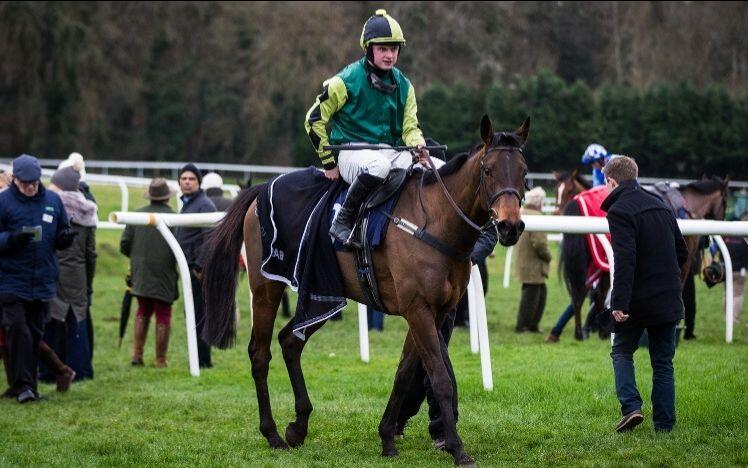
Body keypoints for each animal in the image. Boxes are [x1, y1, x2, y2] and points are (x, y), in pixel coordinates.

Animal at [202, 115, 528, 466]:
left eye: (524, 172)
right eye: (488, 170)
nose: (510, 226)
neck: (434, 222)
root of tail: (261, 188)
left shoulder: (436, 312)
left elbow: (405, 373)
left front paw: (387, 436)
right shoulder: (418, 309)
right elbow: (440, 377)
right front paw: (458, 448)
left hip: (322, 292)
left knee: (290, 341)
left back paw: (298, 426)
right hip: (267, 287)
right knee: (260, 354)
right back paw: (272, 433)